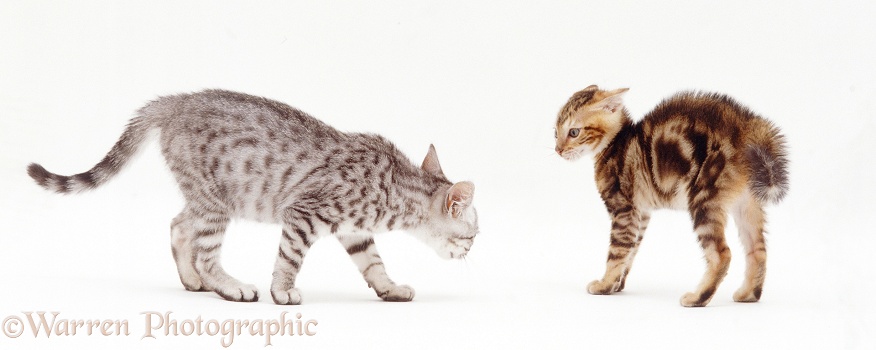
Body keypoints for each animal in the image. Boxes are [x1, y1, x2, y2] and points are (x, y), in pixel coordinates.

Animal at [27, 89, 480, 304]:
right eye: (473, 236)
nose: (471, 254)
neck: (395, 187)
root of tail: (176, 102)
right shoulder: (304, 215)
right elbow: (289, 259)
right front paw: (282, 292)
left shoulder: (354, 232)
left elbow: (374, 264)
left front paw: (390, 289)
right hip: (215, 201)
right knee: (206, 254)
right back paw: (230, 287)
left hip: (203, 197)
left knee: (178, 225)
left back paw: (191, 280)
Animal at [556, 85, 792, 306]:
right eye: (555, 132)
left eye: (574, 132)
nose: (558, 150)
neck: (616, 144)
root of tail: (746, 127)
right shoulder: (641, 213)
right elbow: (631, 250)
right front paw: (616, 284)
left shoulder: (624, 209)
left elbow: (617, 251)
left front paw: (604, 284)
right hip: (746, 203)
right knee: (758, 249)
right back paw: (748, 294)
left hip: (704, 198)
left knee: (722, 254)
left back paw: (698, 298)